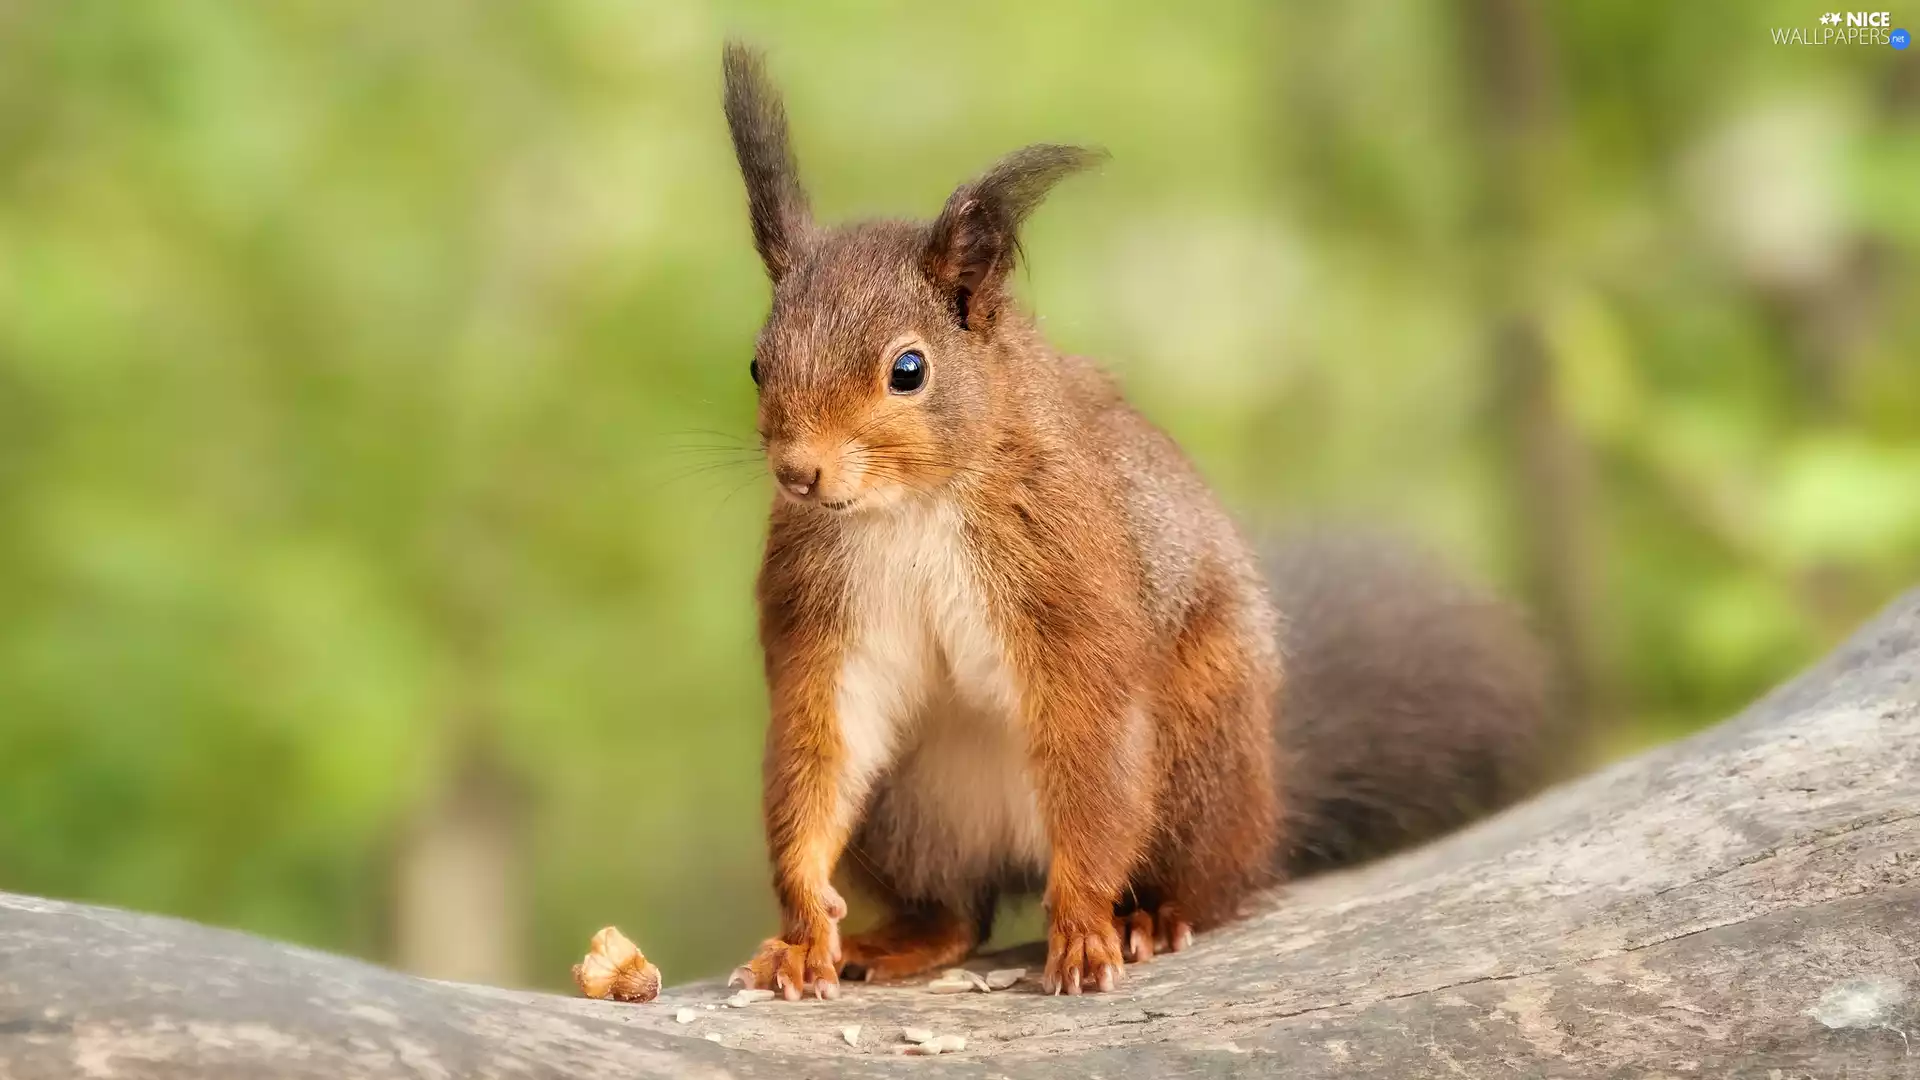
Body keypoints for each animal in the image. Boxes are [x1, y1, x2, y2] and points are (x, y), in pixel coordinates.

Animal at [717, 42, 1561, 999]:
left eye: (909, 369)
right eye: (758, 364)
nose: (800, 472)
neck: (912, 508)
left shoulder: (1069, 576)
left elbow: (1090, 743)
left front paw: (1085, 930)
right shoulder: (823, 607)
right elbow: (822, 742)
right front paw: (802, 929)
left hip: (1194, 756)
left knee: (1207, 879)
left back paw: (1149, 915)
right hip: (911, 811)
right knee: (961, 910)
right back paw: (904, 938)